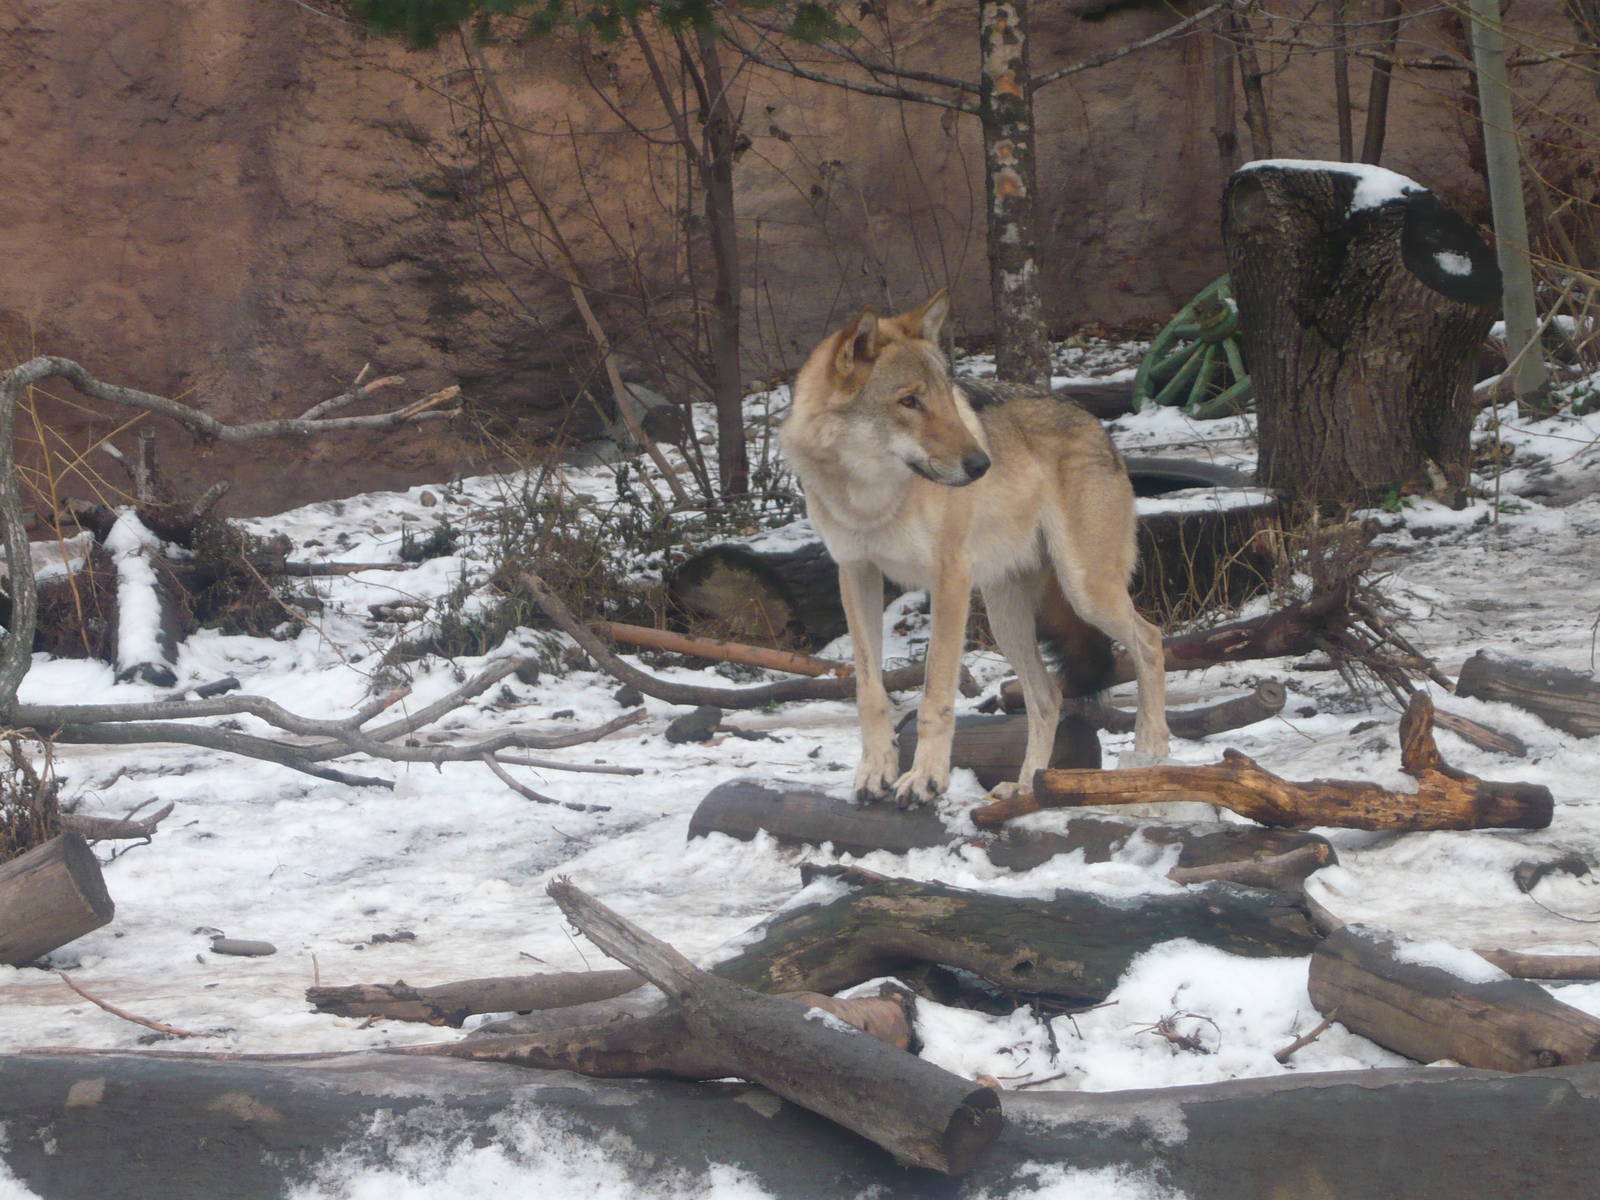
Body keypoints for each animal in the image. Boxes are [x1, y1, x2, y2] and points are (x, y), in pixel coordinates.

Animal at [781, 290, 1169, 806]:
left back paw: (1150, 753)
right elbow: (869, 691)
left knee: (1150, 641)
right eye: (909, 401)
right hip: (1006, 618)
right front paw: (876, 772)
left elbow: (935, 692)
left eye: (946, 397)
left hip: (1085, 589)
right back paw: (1026, 788)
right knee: (1047, 696)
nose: (982, 464)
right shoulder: (856, 573)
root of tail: (1098, 425)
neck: (869, 498)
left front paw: (925, 779)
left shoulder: (949, 578)